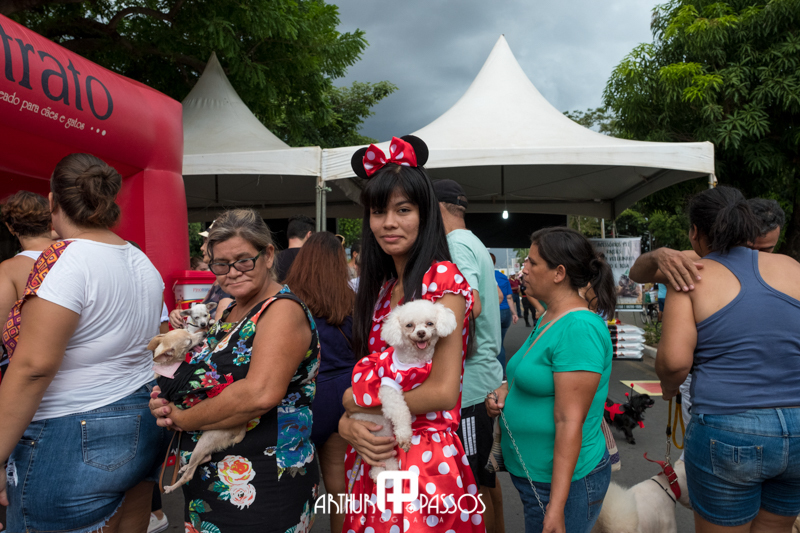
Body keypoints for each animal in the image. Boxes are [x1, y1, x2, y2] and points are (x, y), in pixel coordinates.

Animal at [147, 330, 247, 493]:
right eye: (188, 341)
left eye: (189, 331)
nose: (204, 333)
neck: (170, 367)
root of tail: (241, 429)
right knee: (206, 458)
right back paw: (185, 467)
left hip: (207, 439)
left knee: (190, 474)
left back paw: (171, 487)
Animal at [351, 299, 457, 480]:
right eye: (409, 325)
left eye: (429, 323)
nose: (421, 333)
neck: (413, 361)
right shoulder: (389, 388)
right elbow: (401, 413)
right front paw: (405, 436)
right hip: (376, 426)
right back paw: (380, 471)